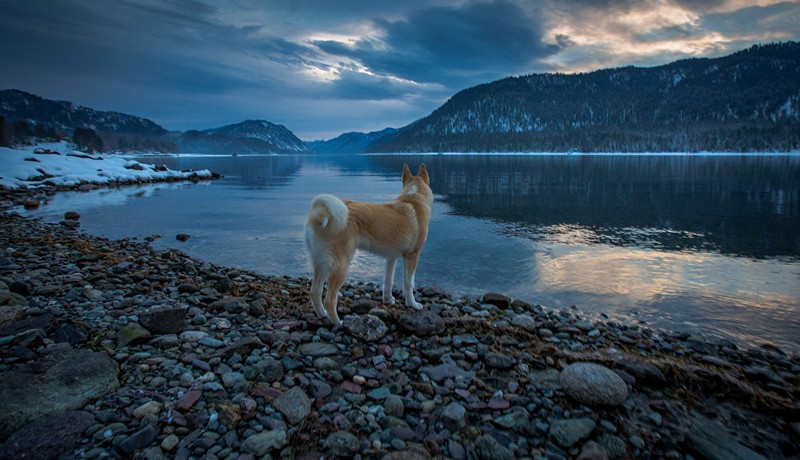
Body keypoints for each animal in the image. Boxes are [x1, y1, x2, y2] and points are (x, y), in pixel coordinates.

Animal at [304, 164, 432, 326]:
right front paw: (413, 305)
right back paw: (339, 323)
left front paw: (388, 300)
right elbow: (409, 284)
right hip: (341, 266)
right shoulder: (412, 256)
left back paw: (322, 315)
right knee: (329, 299)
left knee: (314, 292)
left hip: (322, 264)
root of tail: (320, 215)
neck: (414, 197)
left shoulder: (391, 258)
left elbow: (388, 282)